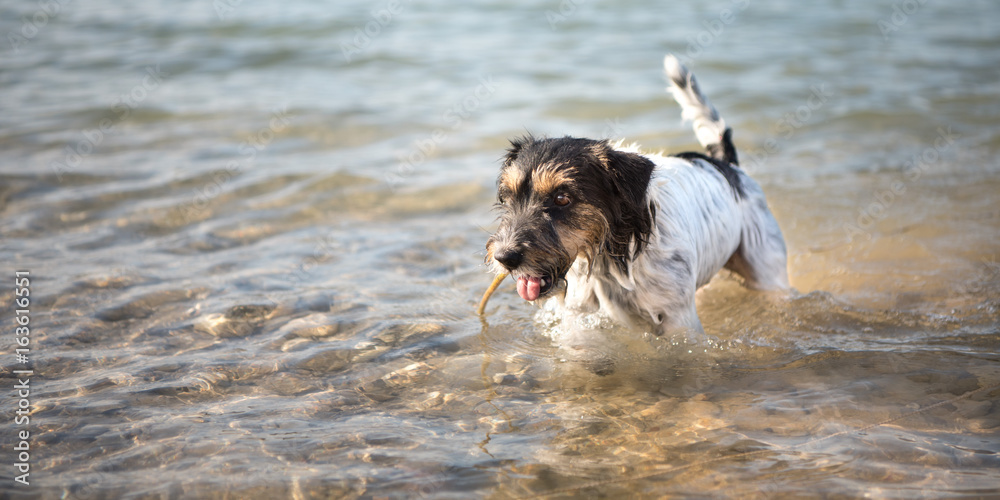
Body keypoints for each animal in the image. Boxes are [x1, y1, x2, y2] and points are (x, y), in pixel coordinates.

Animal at [484, 54, 788, 338]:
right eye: (508, 197)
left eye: (562, 198)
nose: (504, 257)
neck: (612, 257)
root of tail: (728, 165)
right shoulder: (581, 319)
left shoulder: (680, 321)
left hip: (767, 271)